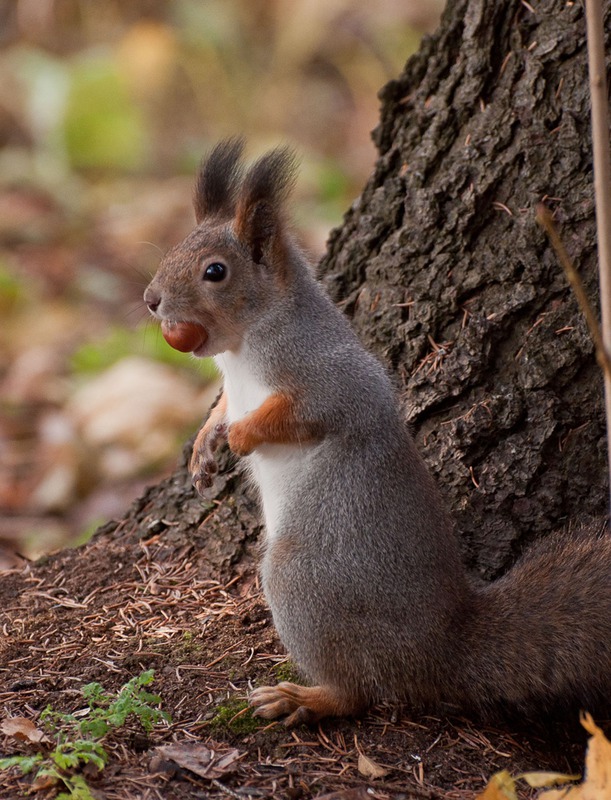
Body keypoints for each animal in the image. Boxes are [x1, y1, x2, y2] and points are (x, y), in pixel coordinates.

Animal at [146, 141, 611, 728]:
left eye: (215, 271)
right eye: (175, 249)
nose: (150, 299)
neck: (244, 346)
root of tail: (440, 649)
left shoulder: (331, 377)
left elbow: (303, 413)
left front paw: (241, 438)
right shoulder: (235, 386)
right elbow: (222, 409)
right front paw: (205, 448)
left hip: (303, 580)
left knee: (359, 691)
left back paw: (305, 698)